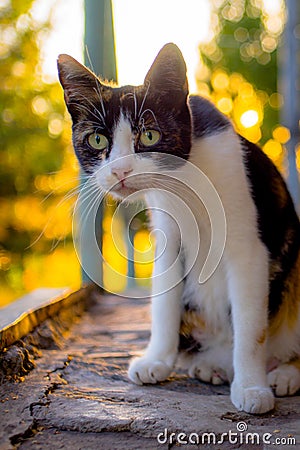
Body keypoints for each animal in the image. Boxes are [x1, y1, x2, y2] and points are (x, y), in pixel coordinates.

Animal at [58, 44, 300, 414]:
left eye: (149, 135)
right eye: (97, 140)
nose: (120, 171)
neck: (185, 177)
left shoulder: (248, 247)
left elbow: (249, 325)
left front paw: (251, 387)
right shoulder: (168, 236)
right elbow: (164, 303)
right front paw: (157, 359)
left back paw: (284, 372)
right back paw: (211, 365)